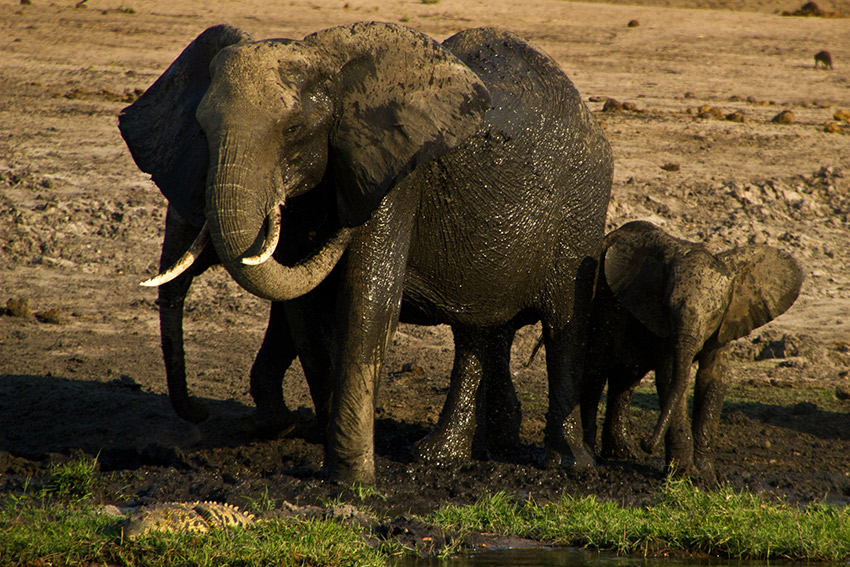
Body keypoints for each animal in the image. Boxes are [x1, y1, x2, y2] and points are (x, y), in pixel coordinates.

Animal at [119, 22, 608, 484]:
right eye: (202, 131)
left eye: (293, 130)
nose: (199, 412)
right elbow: (305, 308)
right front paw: (326, 450)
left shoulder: (395, 176)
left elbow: (366, 299)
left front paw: (350, 479)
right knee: (478, 331)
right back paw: (441, 458)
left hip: (580, 213)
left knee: (563, 323)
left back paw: (567, 465)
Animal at [580, 220, 800, 482]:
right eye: (668, 306)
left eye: (714, 313)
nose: (647, 444)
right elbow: (671, 379)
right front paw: (682, 474)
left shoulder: (724, 325)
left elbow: (712, 379)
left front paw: (707, 477)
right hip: (600, 301)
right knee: (597, 370)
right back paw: (595, 452)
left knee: (626, 377)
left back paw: (625, 453)